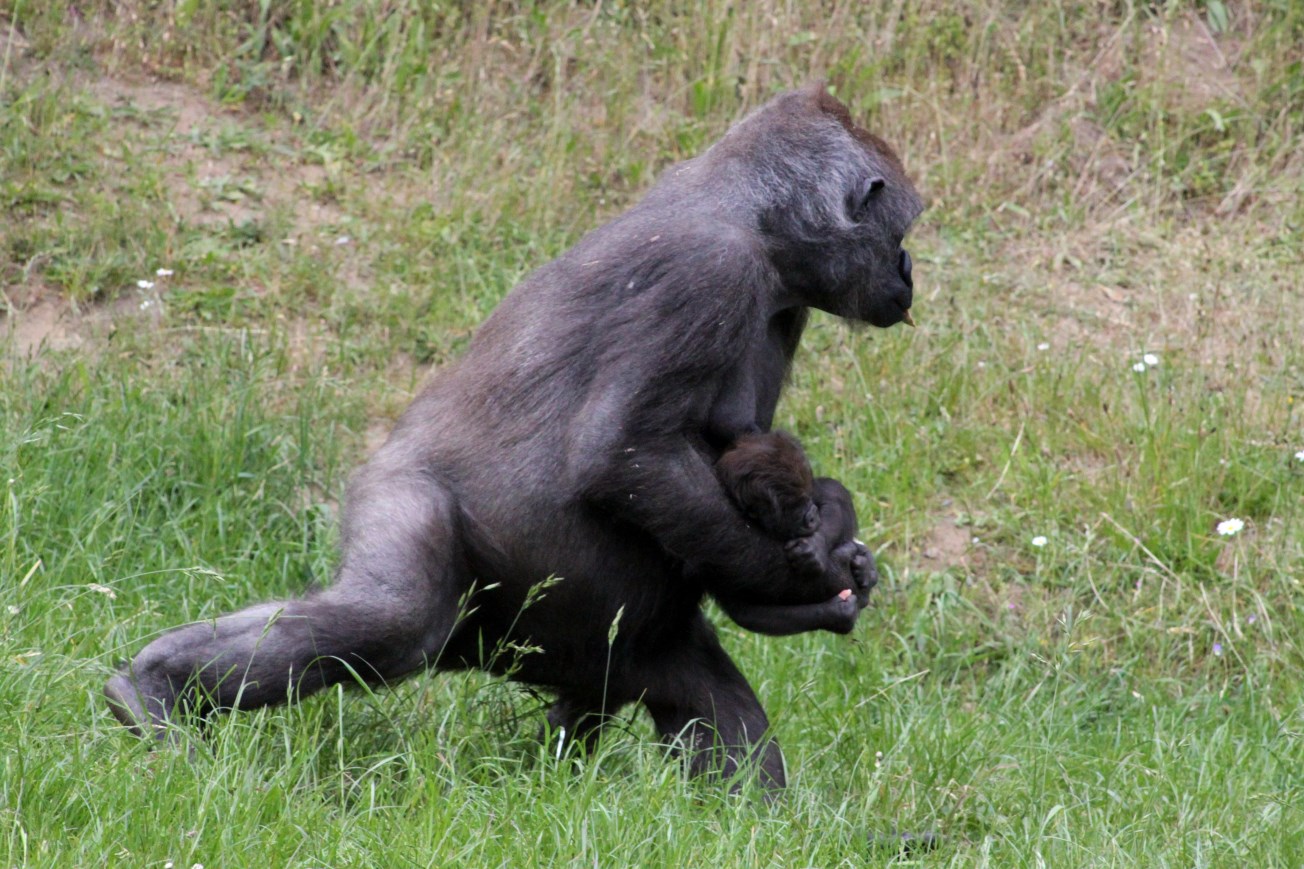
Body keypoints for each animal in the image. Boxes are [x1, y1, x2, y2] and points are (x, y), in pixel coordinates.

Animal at [106, 83, 924, 792]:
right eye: (903, 231)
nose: (910, 271)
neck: (749, 213)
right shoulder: (706, 272)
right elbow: (626, 452)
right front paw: (808, 576)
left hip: (606, 651)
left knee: (702, 703)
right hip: (408, 505)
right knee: (393, 618)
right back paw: (154, 686)